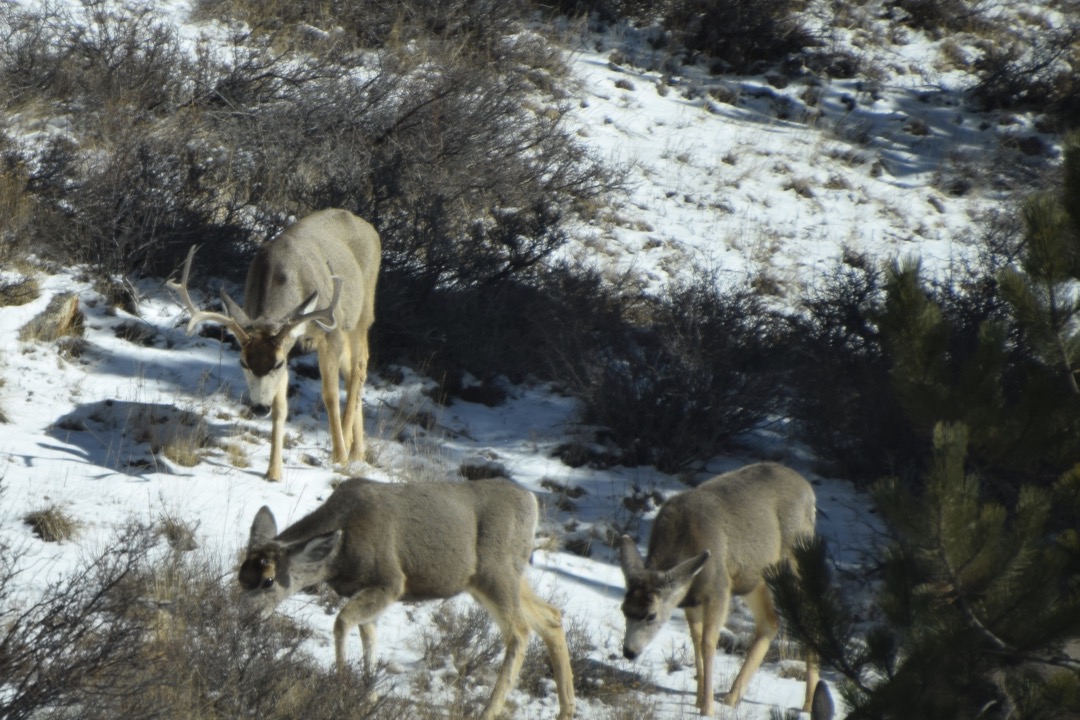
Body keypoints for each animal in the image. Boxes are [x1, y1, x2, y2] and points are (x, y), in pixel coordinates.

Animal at [168, 208, 380, 481]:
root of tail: (368, 227)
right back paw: (357, 451)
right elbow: (280, 408)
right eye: (243, 363)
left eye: (277, 363)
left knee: (359, 369)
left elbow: (330, 395)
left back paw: (348, 446)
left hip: (361, 315)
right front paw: (274, 471)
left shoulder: (330, 332)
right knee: (353, 372)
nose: (259, 408)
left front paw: (339, 456)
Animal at [236, 479, 574, 720]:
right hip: (504, 579)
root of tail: (532, 500)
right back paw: (566, 710)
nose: (244, 618)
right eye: (240, 576)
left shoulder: (391, 580)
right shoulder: (369, 592)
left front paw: (342, 687)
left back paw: (488, 711)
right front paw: (369, 696)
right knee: (552, 617)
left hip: (496, 572)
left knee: (520, 632)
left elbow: (342, 622)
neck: (340, 556)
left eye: (268, 581)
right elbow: (369, 638)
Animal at [617, 462, 816, 716]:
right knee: (770, 621)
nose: (629, 652)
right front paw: (699, 699)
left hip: (796, 559)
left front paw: (707, 708)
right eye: (624, 609)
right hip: (754, 578)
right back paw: (732, 697)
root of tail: (809, 490)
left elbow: (708, 644)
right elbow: (696, 640)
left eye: (651, 615)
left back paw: (808, 703)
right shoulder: (691, 600)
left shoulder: (719, 589)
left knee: (809, 615)